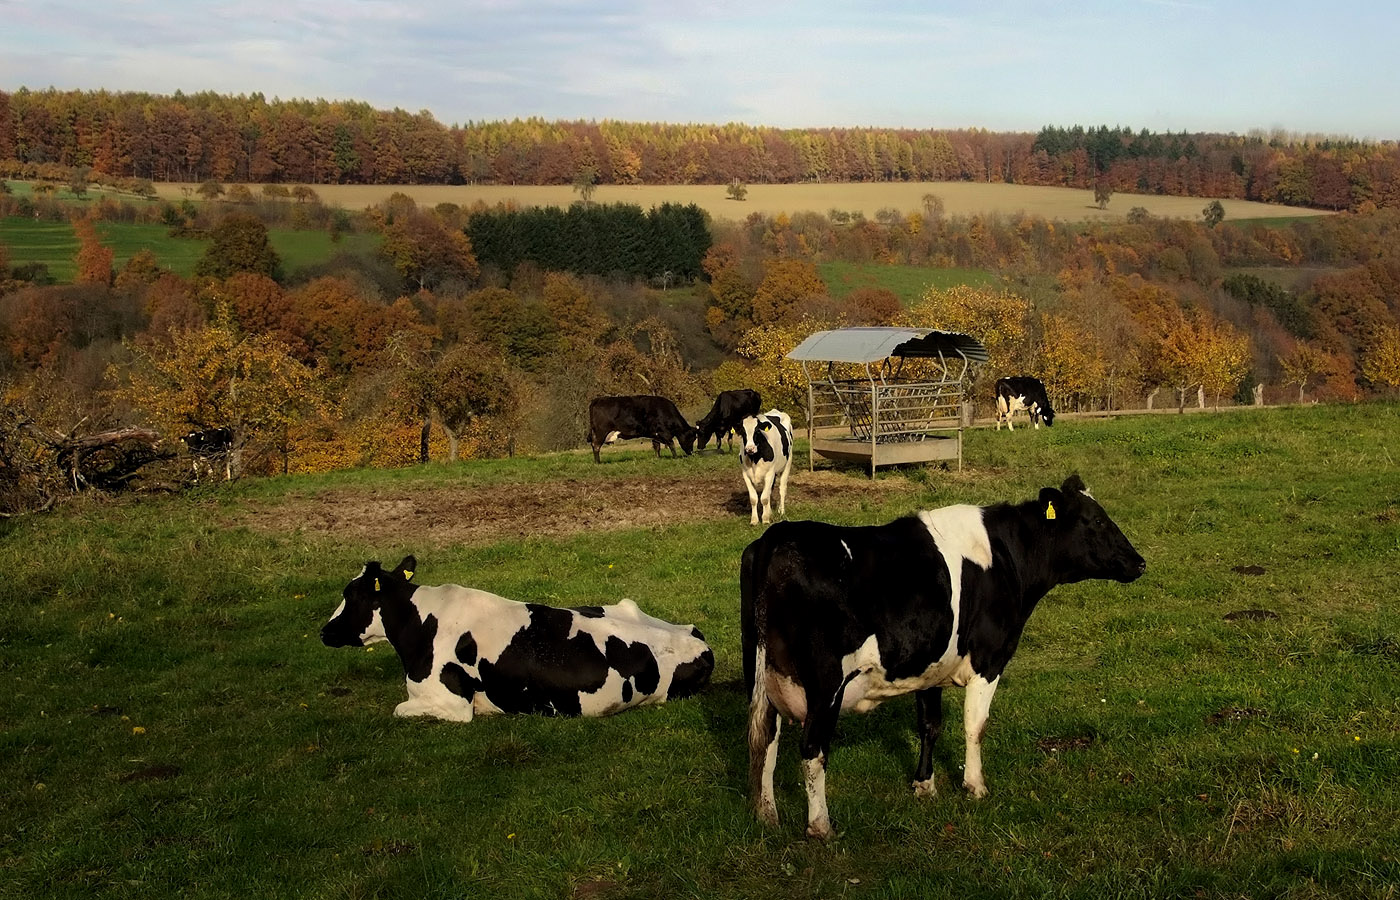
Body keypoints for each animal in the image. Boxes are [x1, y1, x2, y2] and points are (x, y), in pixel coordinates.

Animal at [320, 557, 711, 727]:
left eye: (351, 595)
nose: (324, 631)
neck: (421, 626)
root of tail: (695, 635)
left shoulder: (452, 704)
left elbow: (399, 709)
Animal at [739, 475, 1142, 839]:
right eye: (1097, 520)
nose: (1139, 562)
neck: (1004, 557)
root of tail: (779, 536)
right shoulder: (988, 660)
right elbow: (975, 725)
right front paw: (975, 786)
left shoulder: (929, 666)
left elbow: (930, 725)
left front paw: (925, 786)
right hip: (826, 685)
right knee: (812, 749)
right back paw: (820, 825)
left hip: (762, 675)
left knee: (764, 740)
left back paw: (766, 815)